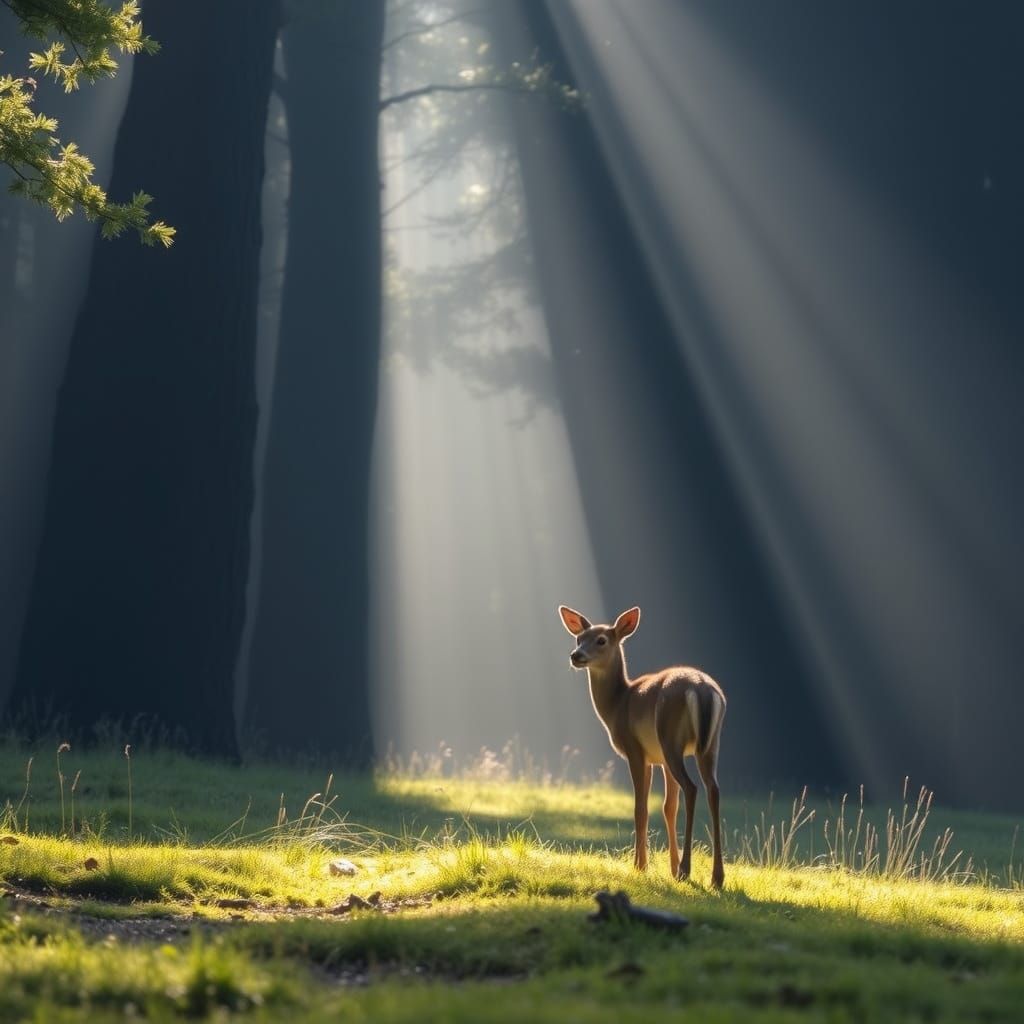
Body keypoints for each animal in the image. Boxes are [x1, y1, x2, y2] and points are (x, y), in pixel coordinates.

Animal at [558, 605, 727, 888]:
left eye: (601, 640)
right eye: (578, 638)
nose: (576, 656)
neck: (617, 704)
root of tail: (702, 689)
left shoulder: (635, 749)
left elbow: (641, 808)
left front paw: (641, 866)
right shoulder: (659, 759)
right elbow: (668, 807)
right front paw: (669, 867)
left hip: (670, 737)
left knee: (692, 788)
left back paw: (687, 869)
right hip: (709, 743)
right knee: (713, 789)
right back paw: (716, 877)